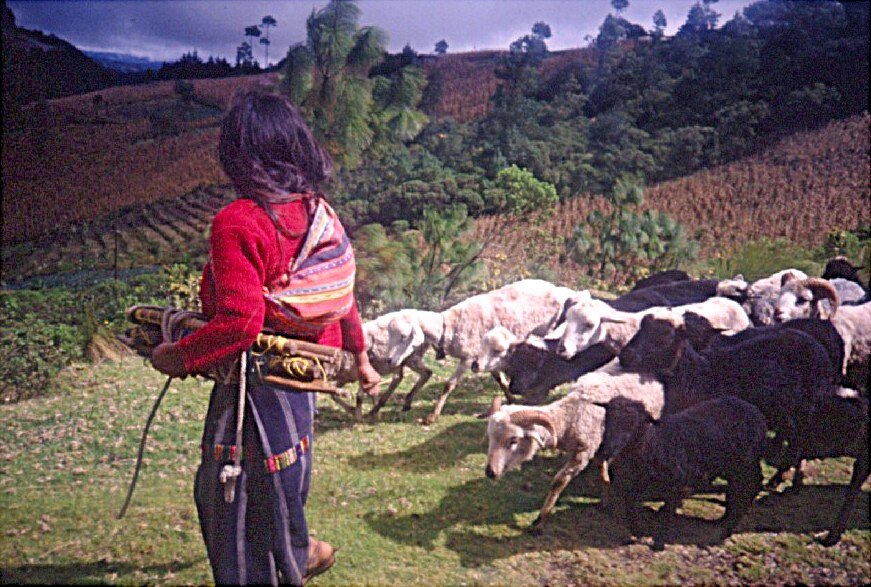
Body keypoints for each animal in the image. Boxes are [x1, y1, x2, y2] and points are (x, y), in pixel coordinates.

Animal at [484, 367, 664, 532]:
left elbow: (559, 482)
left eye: (513, 440)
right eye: (490, 437)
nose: (490, 472)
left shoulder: (583, 452)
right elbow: (602, 468)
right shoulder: (596, 445)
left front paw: (540, 520)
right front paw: (605, 498)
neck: (570, 416)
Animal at [597, 396, 767, 550]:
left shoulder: (676, 484)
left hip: (743, 464)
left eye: (633, 424)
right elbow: (630, 506)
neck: (653, 443)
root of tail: (756, 412)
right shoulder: (635, 484)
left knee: (749, 487)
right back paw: (724, 519)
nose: (607, 449)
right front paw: (637, 532)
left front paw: (659, 543)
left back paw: (728, 528)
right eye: (607, 420)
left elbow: (667, 513)